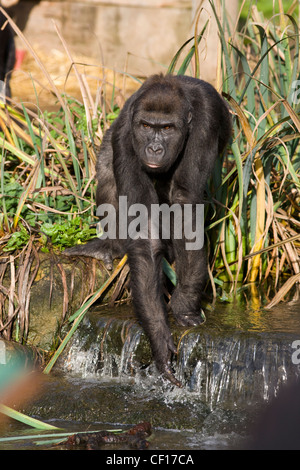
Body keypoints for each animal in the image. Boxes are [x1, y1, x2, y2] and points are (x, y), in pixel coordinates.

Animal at [64, 74, 231, 386]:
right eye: (146, 127)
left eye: (166, 129)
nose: (154, 148)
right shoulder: (125, 137)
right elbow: (144, 230)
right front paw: (158, 333)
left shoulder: (205, 124)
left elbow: (184, 202)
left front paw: (184, 302)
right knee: (107, 170)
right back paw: (111, 245)